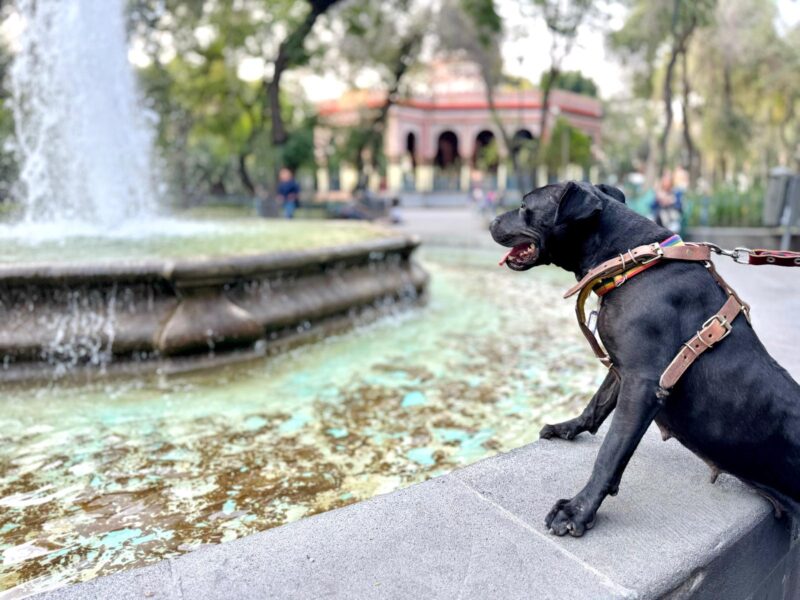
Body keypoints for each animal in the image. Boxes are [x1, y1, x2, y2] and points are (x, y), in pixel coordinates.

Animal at [488, 180, 800, 536]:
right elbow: (597, 403)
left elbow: (610, 452)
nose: (492, 221)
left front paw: (577, 510)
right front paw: (569, 427)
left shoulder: (643, 383)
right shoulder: (623, 367)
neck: (631, 260)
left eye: (525, 206)